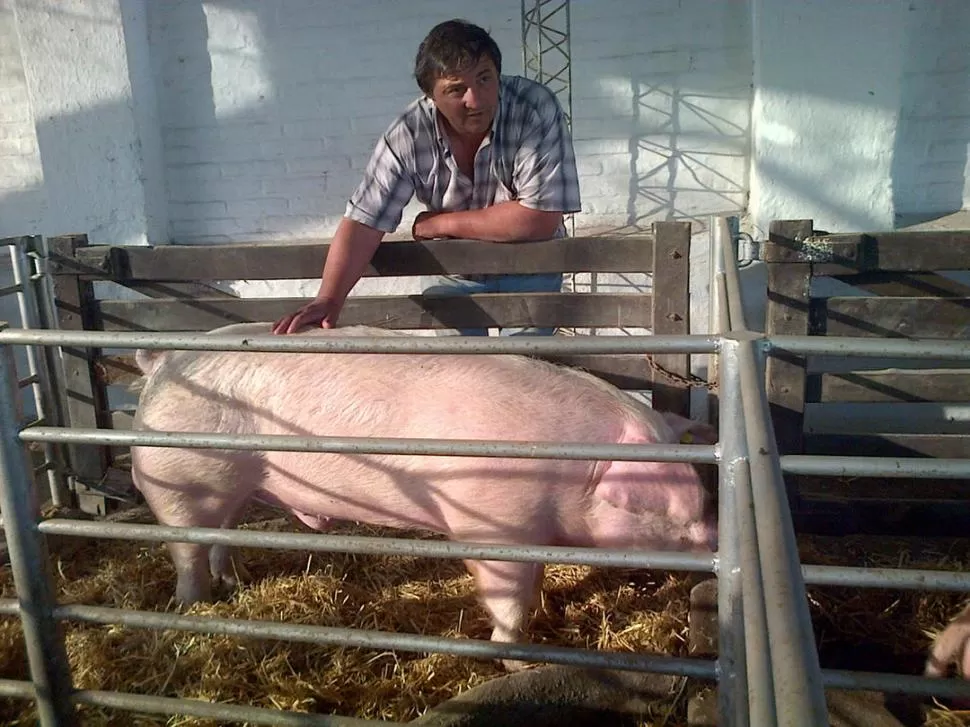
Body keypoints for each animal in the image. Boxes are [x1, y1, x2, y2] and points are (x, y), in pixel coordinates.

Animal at [129, 326, 716, 672]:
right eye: (677, 509)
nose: (714, 538)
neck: (575, 468)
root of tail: (161, 361)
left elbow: (535, 582)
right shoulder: (490, 525)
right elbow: (506, 595)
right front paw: (521, 662)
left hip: (229, 486)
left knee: (219, 534)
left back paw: (235, 584)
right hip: (173, 477)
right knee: (185, 549)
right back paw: (193, 607)